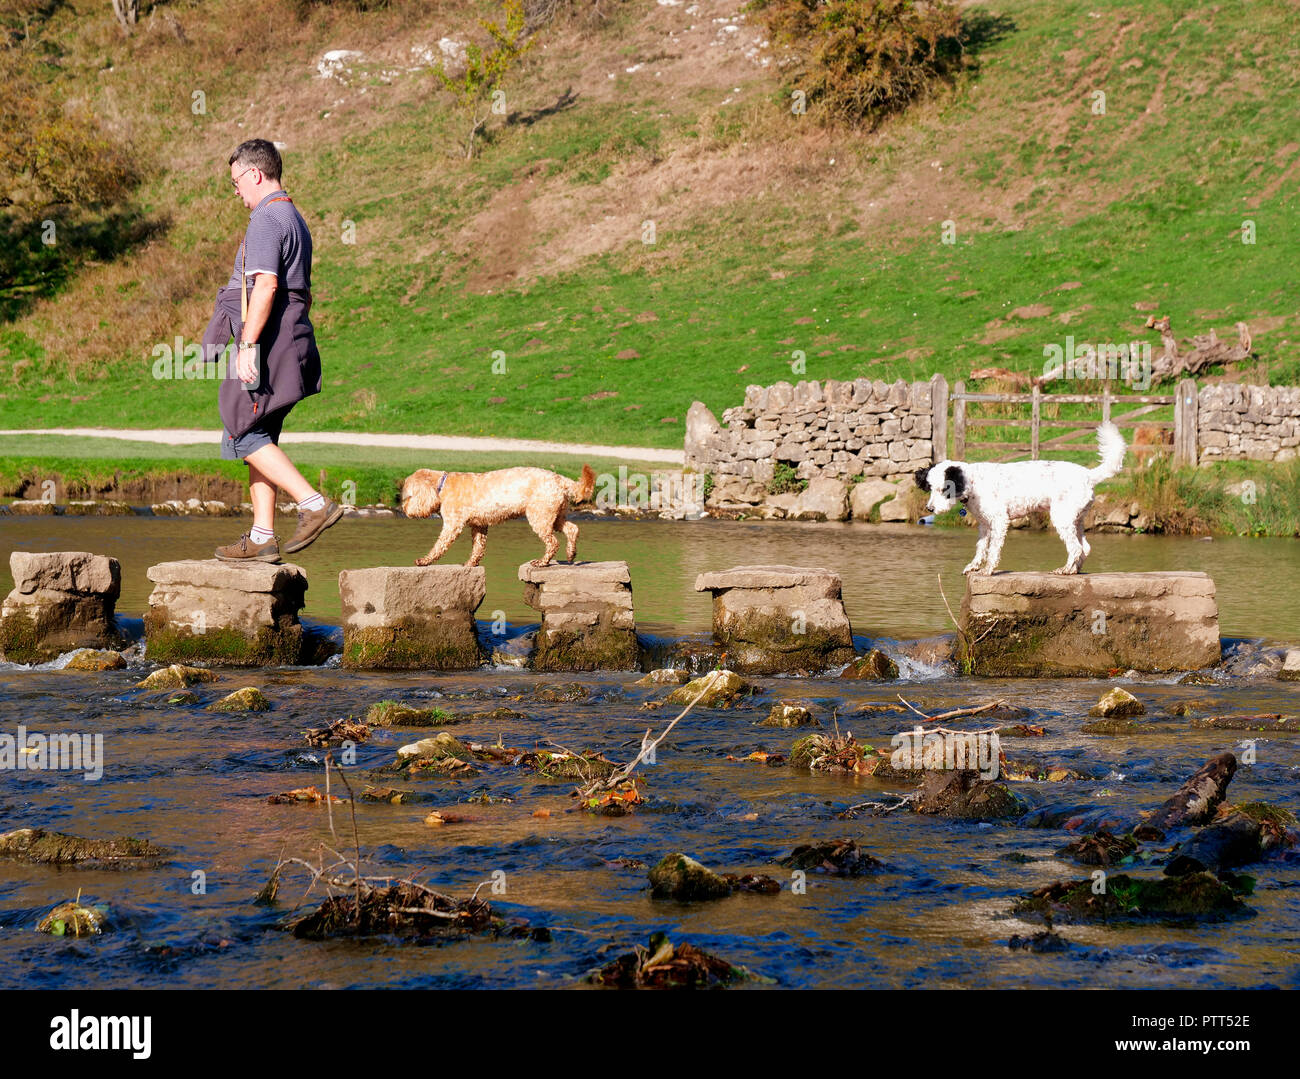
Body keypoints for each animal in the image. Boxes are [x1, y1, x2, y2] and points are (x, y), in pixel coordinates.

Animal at [397, 462, 595, 569]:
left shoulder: (453, 524)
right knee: (572, 529)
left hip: (539, 517)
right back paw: (571, 554)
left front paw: (424, 560)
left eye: (407, 496)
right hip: (555, 516)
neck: (442, 487)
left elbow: (439, 545)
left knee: (553, 543)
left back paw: (542, 562)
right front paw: (471, 563)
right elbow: (478, 547)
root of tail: (561, 479)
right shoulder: (479, 525)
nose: (404, 510)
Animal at [915, 421, 1128, 574]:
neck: (973, 483)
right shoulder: (984, 525)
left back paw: (1065, 569)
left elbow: (993, 551)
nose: (930, 509)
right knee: (1085, 548)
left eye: (944, 489)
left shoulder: (999, 522)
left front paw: (987, 570)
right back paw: (1074, 570)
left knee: (1075, 548)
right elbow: (981, 548)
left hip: (1061, 519)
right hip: (1076, 520)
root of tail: (1089, 475)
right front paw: (974, 566)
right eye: (930, 488)